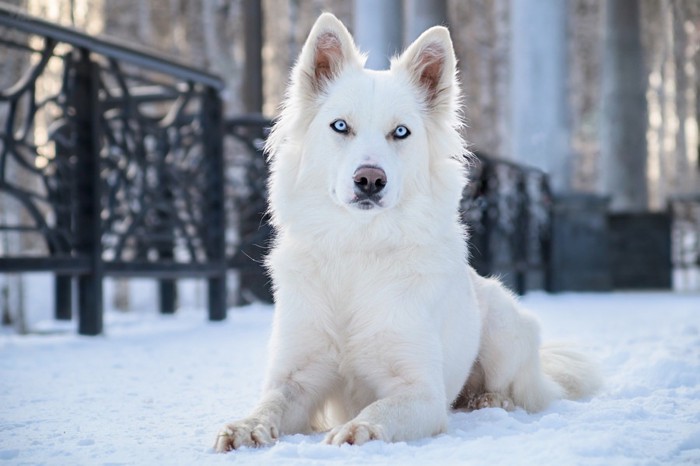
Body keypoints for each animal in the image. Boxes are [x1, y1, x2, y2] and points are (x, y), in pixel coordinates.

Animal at [215, 13, 600, 452]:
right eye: (340, 126)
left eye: (400, 132)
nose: (369, 179)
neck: (359, 248)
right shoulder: (297, 375)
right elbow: (271, 403)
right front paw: (246, 426)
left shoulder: (422, 392)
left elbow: (383, 409)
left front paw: (358, 430)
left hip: (503, 325)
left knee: (511, 386)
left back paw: (489, 399)